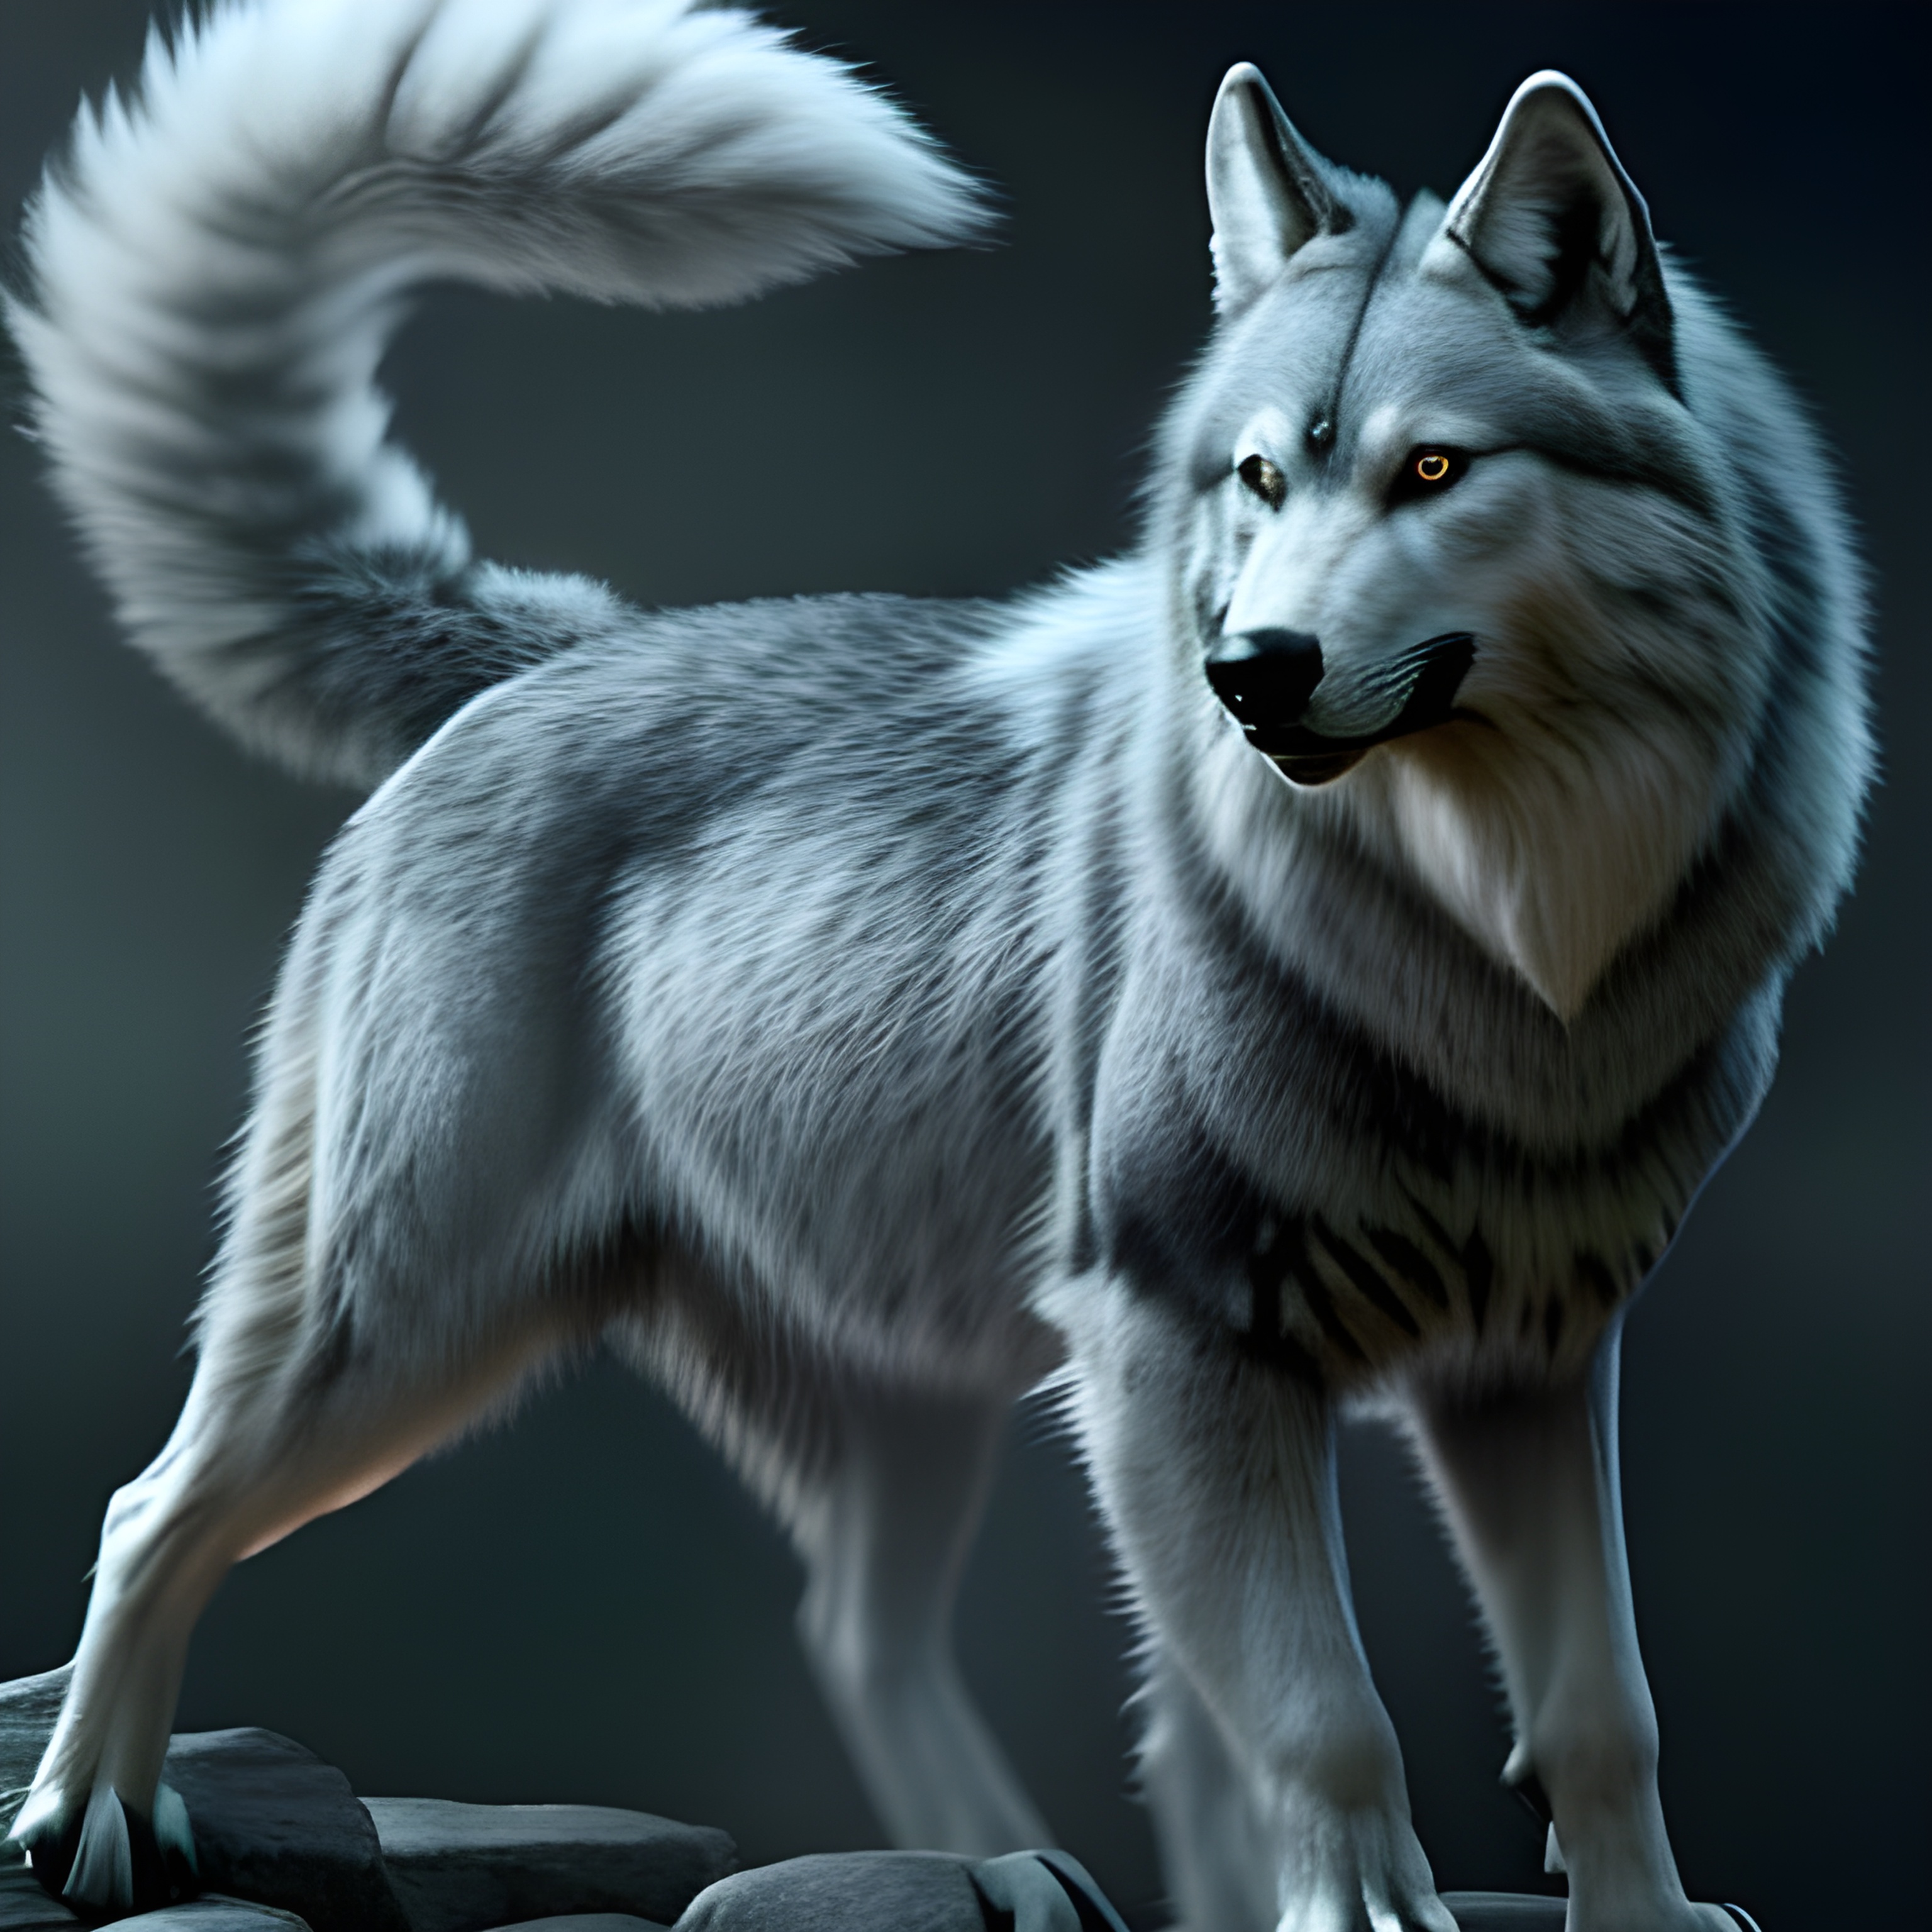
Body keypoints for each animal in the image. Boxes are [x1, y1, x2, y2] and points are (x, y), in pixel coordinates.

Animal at [3, 1, 1868, 1928]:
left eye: (1433, 468)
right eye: (1261, 476)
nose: (1249, 671)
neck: (1507, 948)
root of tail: (555, 648)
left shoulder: (1529, 1368)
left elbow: (1595, 1707)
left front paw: (1643, 1912)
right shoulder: (1175, 1338)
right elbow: (1321, 1713)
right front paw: (1355, 1910)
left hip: (907, 1404)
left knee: (858, 1631)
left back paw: (1011, 1867)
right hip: (402, 1326)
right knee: (154, 1505)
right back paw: (90, 1817)